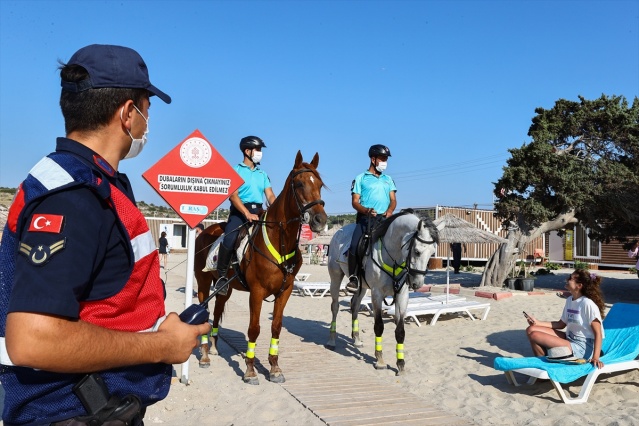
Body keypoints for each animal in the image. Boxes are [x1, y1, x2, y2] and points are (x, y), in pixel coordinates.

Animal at [192, 151, 328, 384]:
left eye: (319, 184)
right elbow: (254, 329)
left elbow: (276, 327)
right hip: (203, 282)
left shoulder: (285, 291)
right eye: (300, 184)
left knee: (217, 309)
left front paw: (274, 368)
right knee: (205, 309)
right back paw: (204, 355)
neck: (279, 241)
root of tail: (206, 231)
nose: (320, 219)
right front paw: (250, 370)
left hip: (224, 289)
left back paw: (215, 346)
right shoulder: (256, 292)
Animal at [328, 211, 442, 374]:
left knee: (354, 305)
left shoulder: (402, 295)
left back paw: (356, 339)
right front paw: (380, 360)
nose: (417, 284)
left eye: (432, 253)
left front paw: (401, 364)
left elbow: (400, 330)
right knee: (335, 307)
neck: (393, 255)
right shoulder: (377, 294)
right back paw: (331, 340)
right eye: (417, 251)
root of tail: (338, 232)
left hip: (362, 287)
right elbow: (379, 326)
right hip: (335, 277)